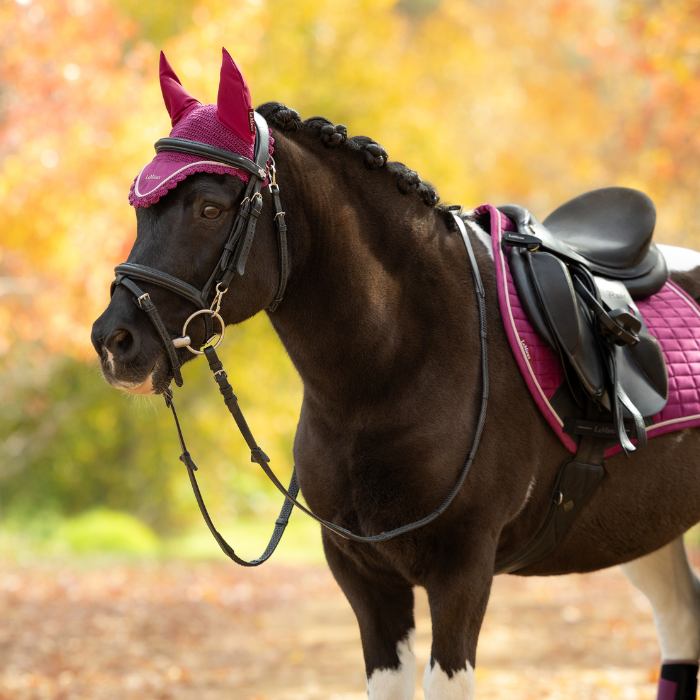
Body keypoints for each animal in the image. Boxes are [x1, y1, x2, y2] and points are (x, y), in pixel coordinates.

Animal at [91, 52, 700, 700]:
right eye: (139, 207)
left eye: (210, 207)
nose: (114, 341)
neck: (391, 374)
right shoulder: (364, 575)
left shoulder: (462, 568)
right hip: (646, 529)